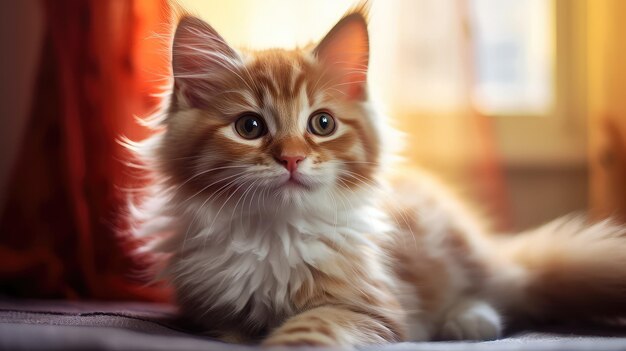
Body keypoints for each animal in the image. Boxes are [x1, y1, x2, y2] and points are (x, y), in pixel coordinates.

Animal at [129, 5, 624, 350]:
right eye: (249, 127)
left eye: (322, 124)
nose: (292, 159)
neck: (275, 233)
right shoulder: (208, 307)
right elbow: (231, 328)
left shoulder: (372, 308)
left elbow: (313, 326)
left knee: (507, 289)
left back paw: (469, 319)